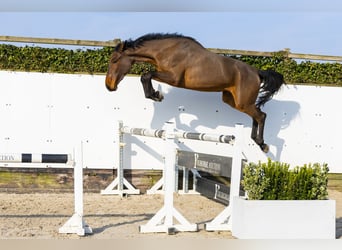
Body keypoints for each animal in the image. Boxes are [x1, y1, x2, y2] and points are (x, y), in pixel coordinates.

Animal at [105, 33, 284, 152]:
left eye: (114, 60)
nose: (109, 86)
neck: (166, 51)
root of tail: (256, 72)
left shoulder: (173, 77)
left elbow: (146, 75)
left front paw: (156, 95)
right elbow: (146, 77)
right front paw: (155, 95)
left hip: (242, 102)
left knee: (261, 116)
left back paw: (262, 144)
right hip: (233, 101)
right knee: (257, 114)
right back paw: (256, 140)